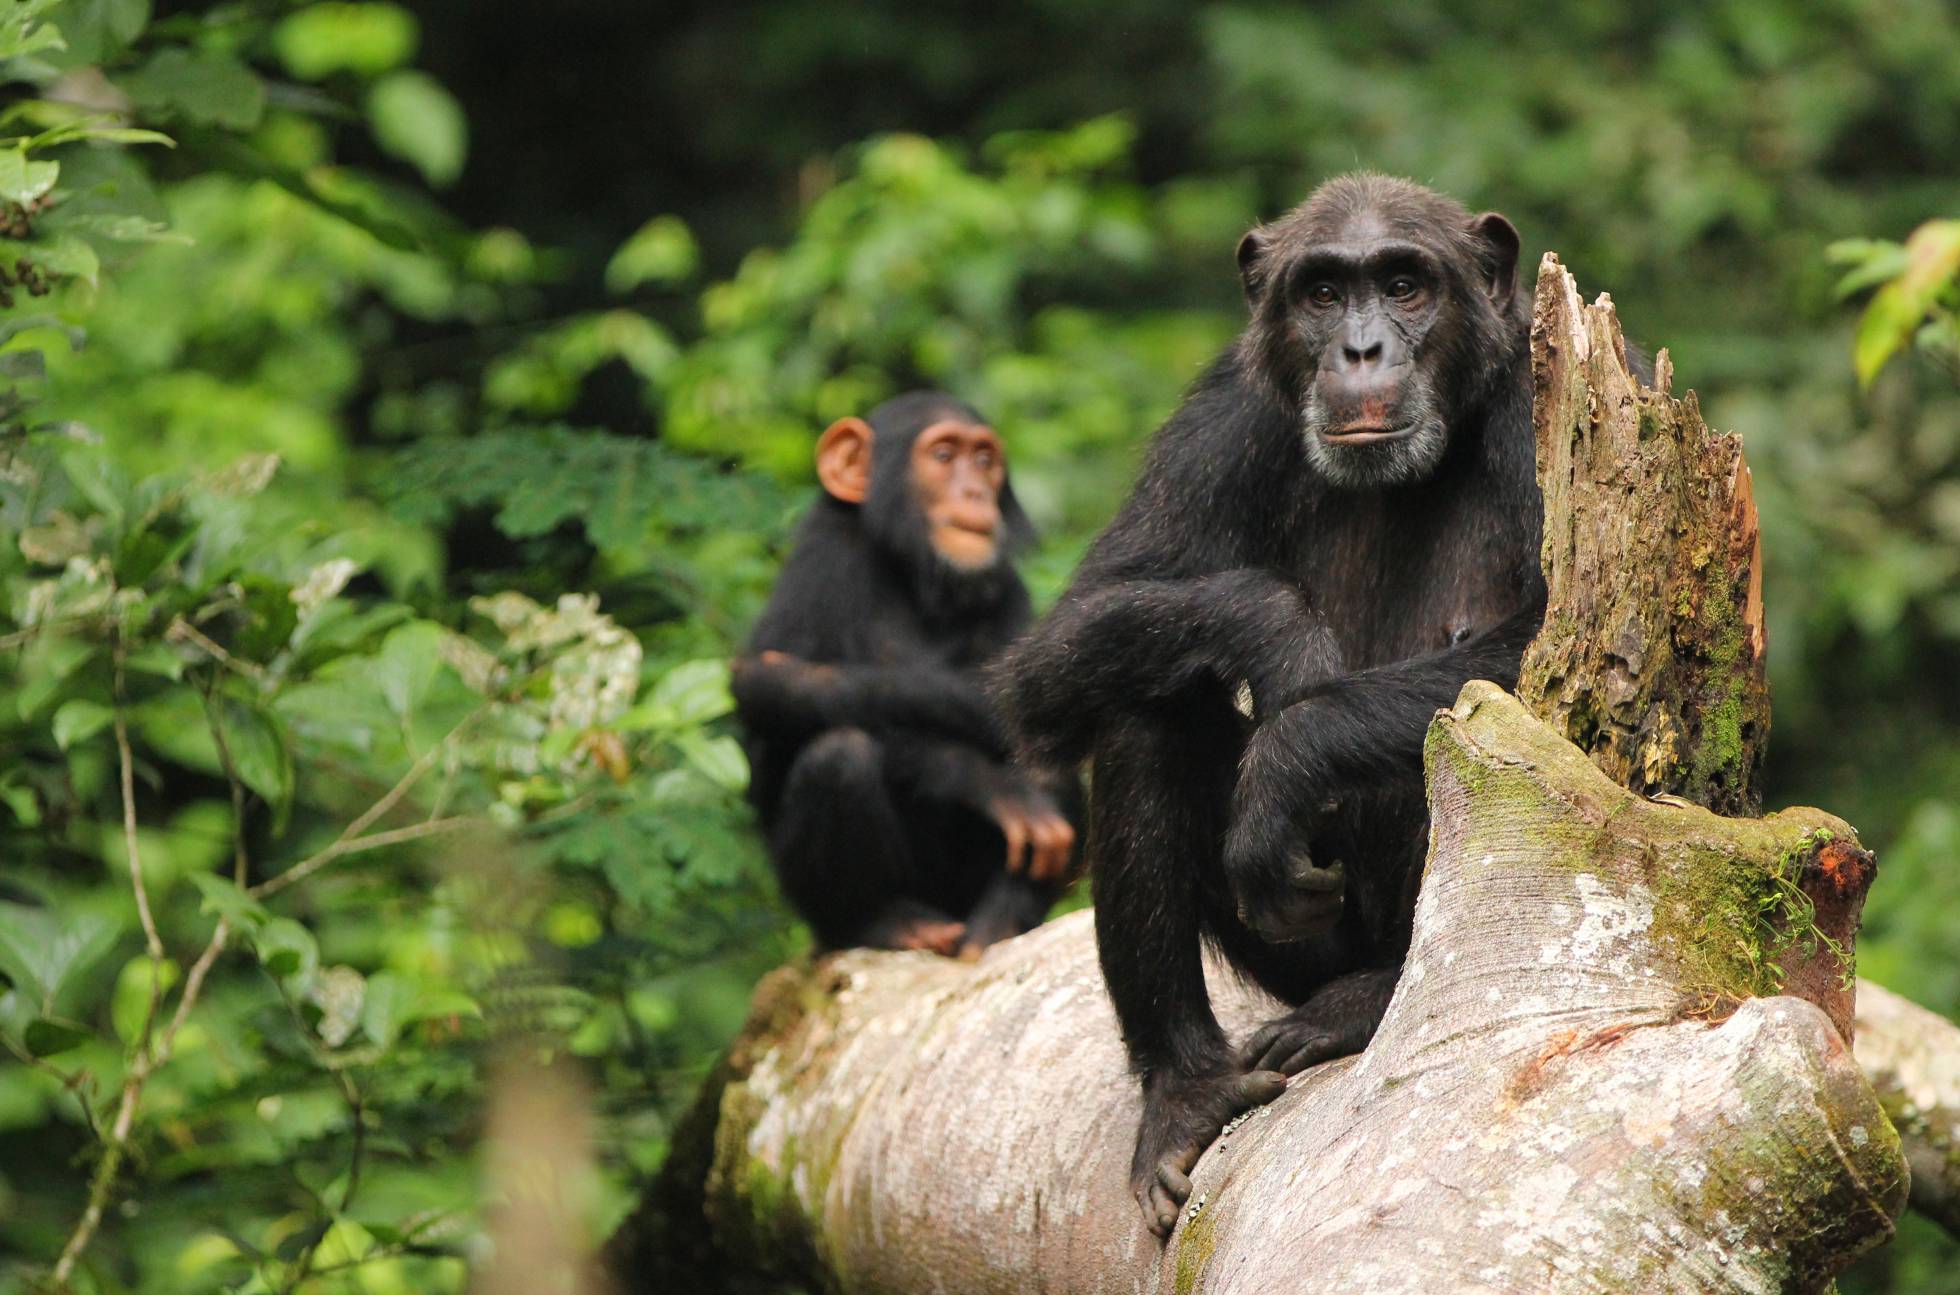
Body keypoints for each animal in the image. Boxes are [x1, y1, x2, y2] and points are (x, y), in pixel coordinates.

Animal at [736, 393, 1081, 959]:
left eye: (984, 460)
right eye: (943, 455)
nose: (974, 490)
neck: (910, 571)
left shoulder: (1007, 587)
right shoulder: (820, 566)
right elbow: (773, 702)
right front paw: (977, 777)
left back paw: (1000, 921)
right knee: (839, 755)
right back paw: (886, 923)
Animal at [1003, 174, 1583, 1230]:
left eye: (1404, 284)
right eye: (1321, 293)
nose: (1360, 348)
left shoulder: (1548, 397)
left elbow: (1558, 640)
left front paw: (1289, 754)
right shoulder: (1223, 421)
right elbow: (1062, 642)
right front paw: (1277, 633)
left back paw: (1370, 1000)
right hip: (1297, 945)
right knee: (1145, 707)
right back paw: (1187, 1094)